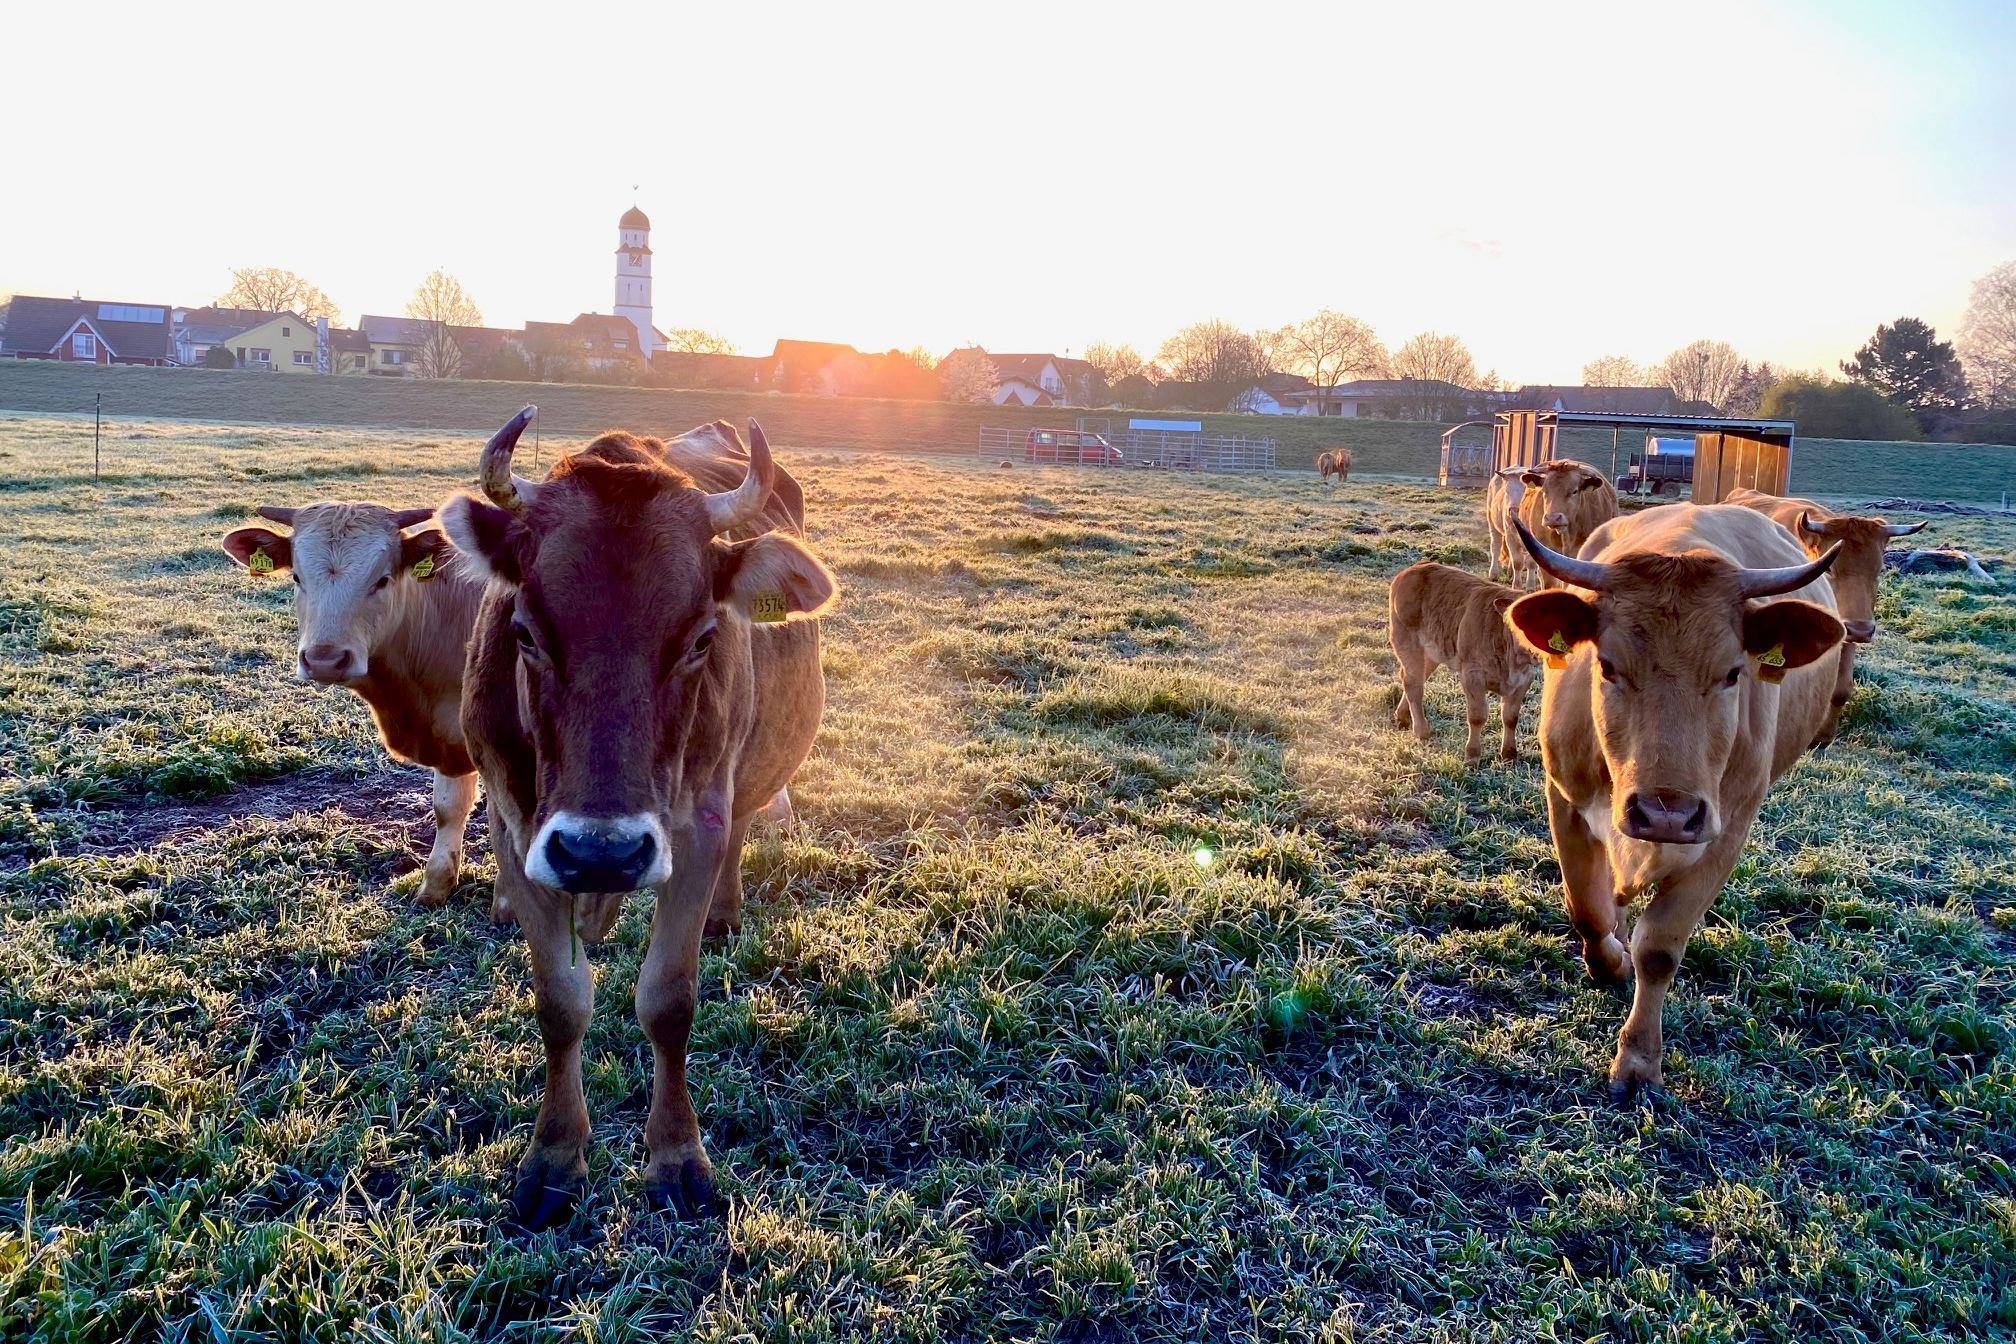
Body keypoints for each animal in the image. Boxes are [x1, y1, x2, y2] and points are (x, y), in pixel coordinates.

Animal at [1387, 560, 1540, 765]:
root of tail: (1419, 565)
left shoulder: (1524, 679)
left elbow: (1510, 716)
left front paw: (1509, 754)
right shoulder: (1471, 675)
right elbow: (1477, 716)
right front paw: (1472, 756)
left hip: (1434, 650)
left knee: (1415, 677)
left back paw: (1403, 717)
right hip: (1405, 638)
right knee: (1413, 682)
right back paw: (1421, 731)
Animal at [1499, 503, 1846, 1104]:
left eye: (1733, 672)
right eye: (1607, 666)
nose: (1667, 813)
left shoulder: (1725, 832)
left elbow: (1659, 947)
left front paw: (1639, 1060)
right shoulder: (1564, 801)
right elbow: (1589, 912)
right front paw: (1610, 962)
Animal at [1717, 489, 1919, 753]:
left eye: (1880, 570)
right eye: (1830, 570)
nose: (1862, 629)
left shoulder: (1846, 633)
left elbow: (1841, 689)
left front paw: (1823, 736)